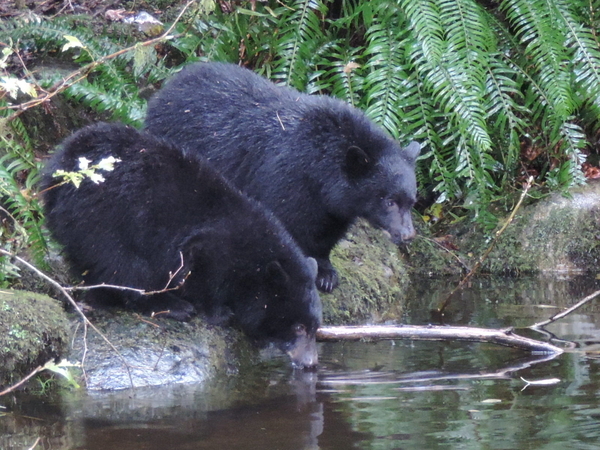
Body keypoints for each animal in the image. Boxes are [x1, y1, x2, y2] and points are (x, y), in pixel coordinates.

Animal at [41, 121, 324, 368]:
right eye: (298, 326)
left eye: (315, 327)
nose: (310, 363)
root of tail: (59, 165)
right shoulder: (210, 245)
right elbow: (201, 273)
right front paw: (219, 312)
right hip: (101, 218)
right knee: (124, 266)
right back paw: (171, 306)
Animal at [144, 62, 422, 292]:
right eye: (389, 201)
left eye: (411, 202)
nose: (408, 234)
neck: (321, 171)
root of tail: (167, 88)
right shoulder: (289, 180)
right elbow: (288, 225)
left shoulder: (335, 207)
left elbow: (326, 234)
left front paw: (326, 273)